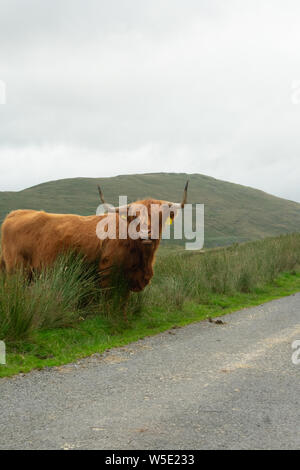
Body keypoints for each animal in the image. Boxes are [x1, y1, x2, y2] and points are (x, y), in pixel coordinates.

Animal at [0, 183, 188, 296]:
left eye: (160, 216)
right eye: (134, 216)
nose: (146, 232)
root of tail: (14, 214)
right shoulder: (107, 274)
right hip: (17, 271)